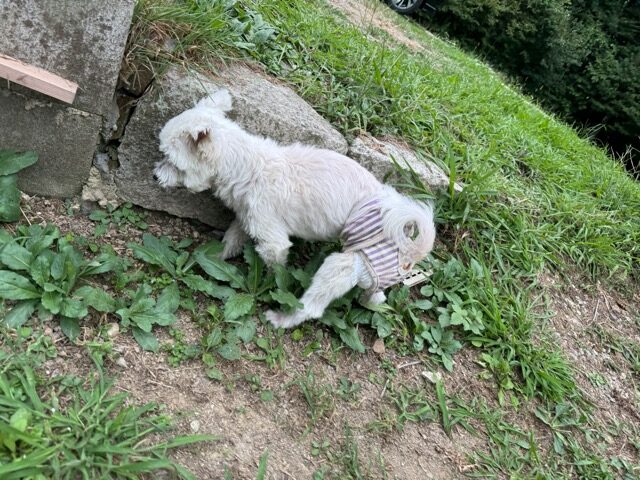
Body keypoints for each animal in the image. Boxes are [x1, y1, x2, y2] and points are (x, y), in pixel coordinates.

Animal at [154, 89, 436, 329]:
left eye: (171, 160)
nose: (155, 176)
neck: (249, 166)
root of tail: (412, 245)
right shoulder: (247, 218)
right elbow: (231, 240)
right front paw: (213, 257)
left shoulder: (272, 239)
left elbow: (275, 267)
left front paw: (272, 284)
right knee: (376, 295)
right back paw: (370, 301)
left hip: (345, 264)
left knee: (312, 306)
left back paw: (283, 318)